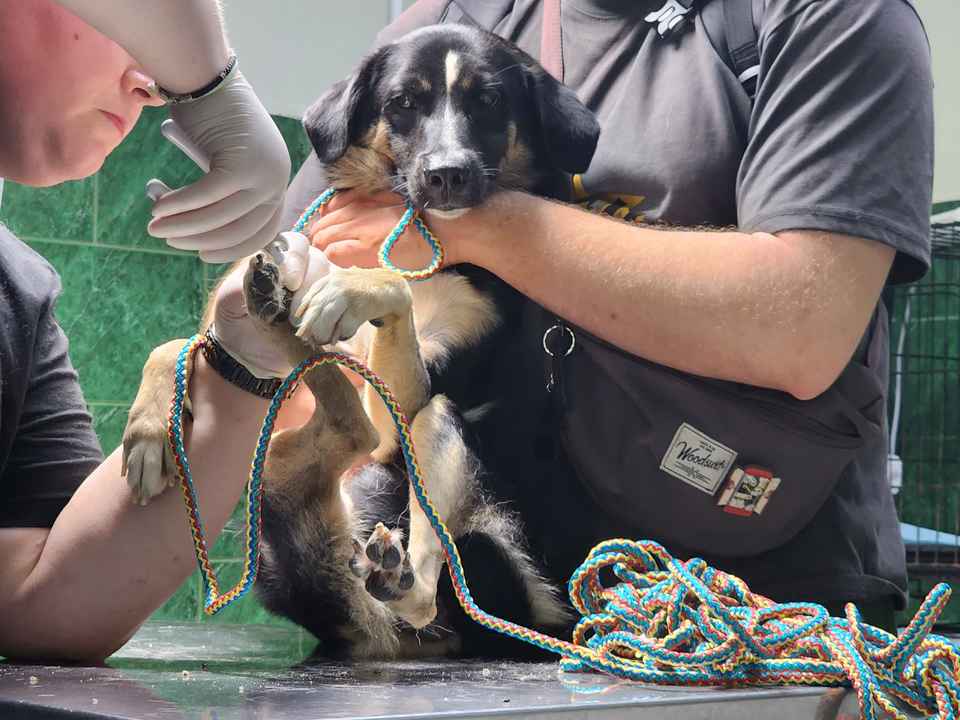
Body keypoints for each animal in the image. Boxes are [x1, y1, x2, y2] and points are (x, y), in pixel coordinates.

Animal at [123, 25, 596, 660]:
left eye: (489, 101)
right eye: (404, 102)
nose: (447, 174)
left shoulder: (405, 393)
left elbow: (390, 289)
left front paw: (355, 286)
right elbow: (174, 345)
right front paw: (150, 430)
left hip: (444, 456)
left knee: (420, 569)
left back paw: (402, 581)